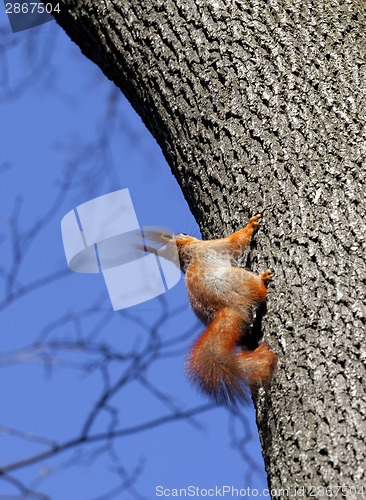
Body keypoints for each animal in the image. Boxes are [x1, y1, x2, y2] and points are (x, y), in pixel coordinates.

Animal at [173, 213, 276, 404]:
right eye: (183, 236)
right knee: (258, 290)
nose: (184, 231)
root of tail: (229, 308)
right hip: (241, 280)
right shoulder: (213, 246)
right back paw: (263, 279)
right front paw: (251, 225)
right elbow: (235, 241)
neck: (185, 253)